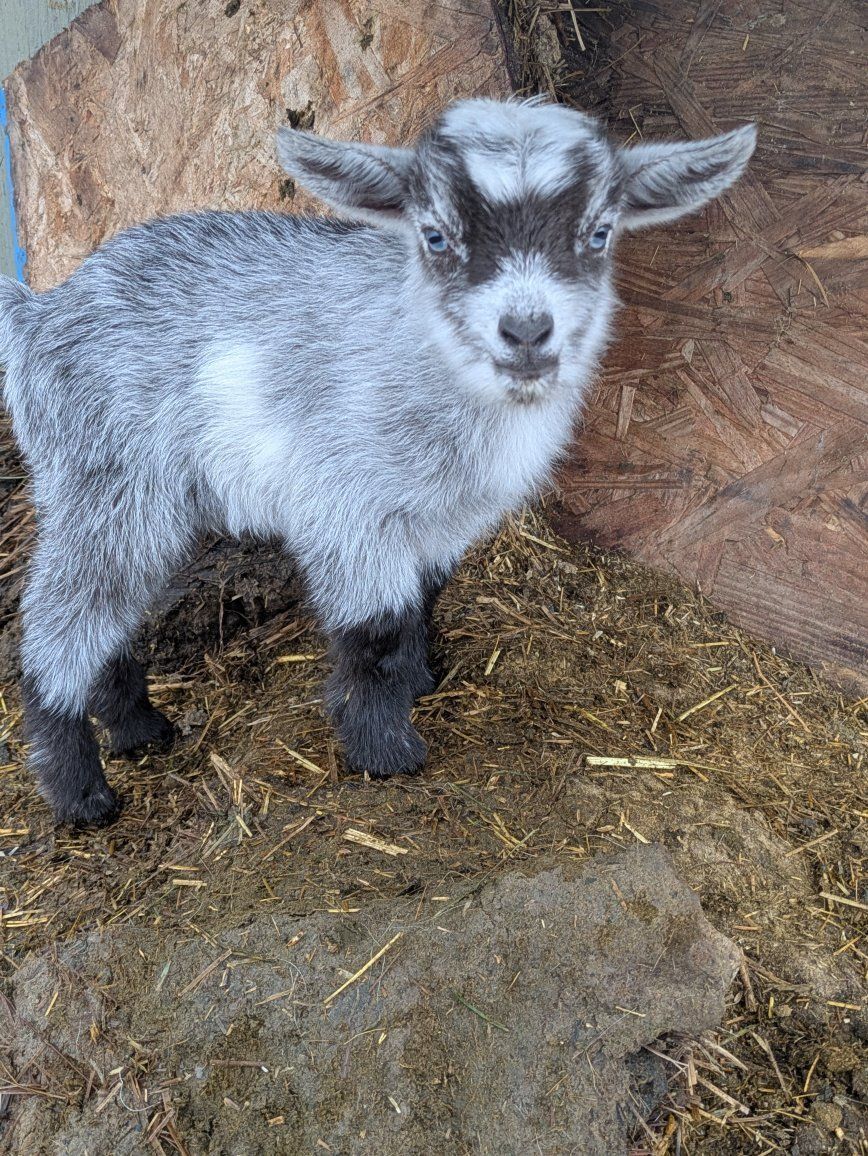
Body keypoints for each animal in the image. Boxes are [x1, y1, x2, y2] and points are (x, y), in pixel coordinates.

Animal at [0, 98, 755, 825]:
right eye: (435, 235)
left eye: (599, 233)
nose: (526, 330)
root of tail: (41, 313)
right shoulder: (347, 505)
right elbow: (378, 628)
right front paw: (385, 752)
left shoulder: (444, 516)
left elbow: (425, 594)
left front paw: (421, 681)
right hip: (106, 478)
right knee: (58, 620)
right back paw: (81, 793)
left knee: (109, 613)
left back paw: (139, 731)